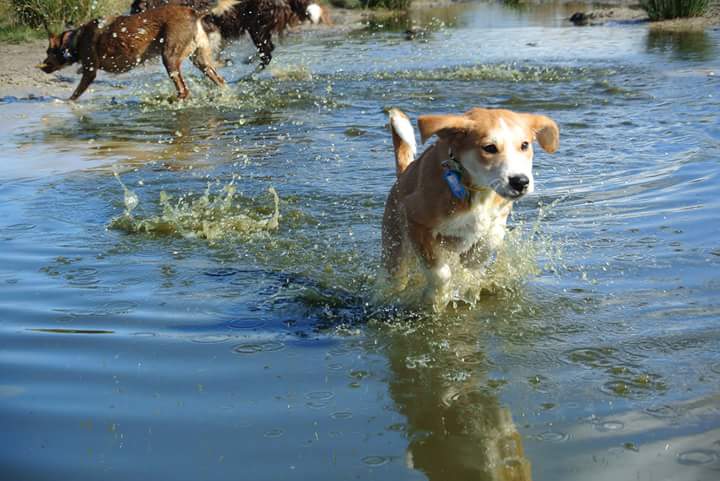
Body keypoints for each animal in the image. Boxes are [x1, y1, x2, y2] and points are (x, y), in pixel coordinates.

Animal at [37, 0, 236, 100]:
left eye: (48, 53)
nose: (42, 65)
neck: (75, 39)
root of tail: (193, 13)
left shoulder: (90, 71)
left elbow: (74, 95)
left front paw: (65, 103)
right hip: (200, 60)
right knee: (220, 80)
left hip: (169, 57)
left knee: (184, 90)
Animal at [380, 108, 560, 302]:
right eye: (489, 148)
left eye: (525, 145)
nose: (520, 182)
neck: (477, 191)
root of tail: (402, 176)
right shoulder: (416, 219)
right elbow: (440, 273)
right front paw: (436, 296)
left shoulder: (499, 215)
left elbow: (488, 241)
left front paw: (469, 272)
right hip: (395, 246)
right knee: (397, 274)